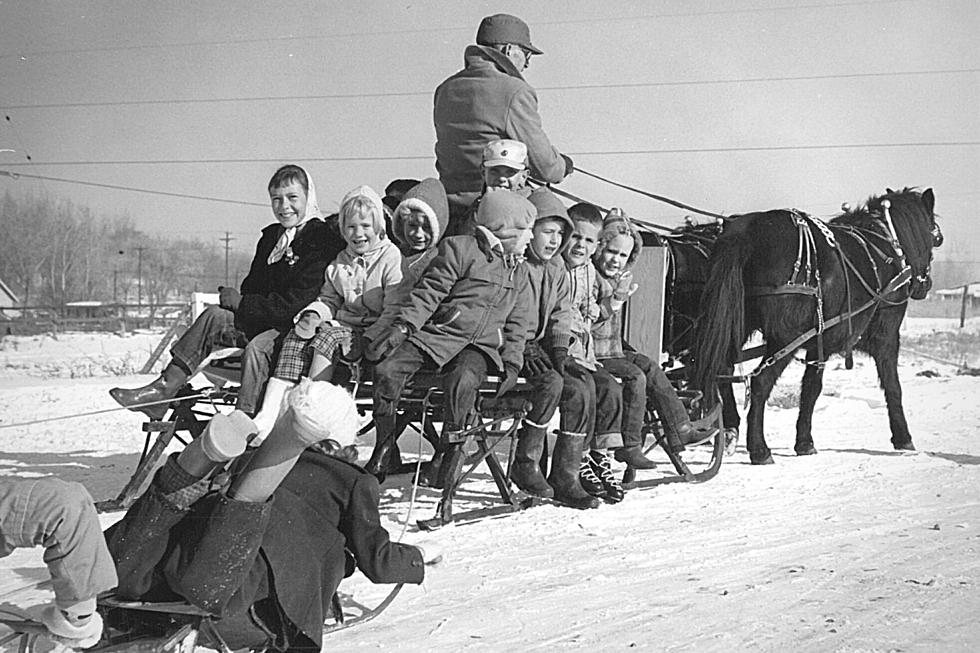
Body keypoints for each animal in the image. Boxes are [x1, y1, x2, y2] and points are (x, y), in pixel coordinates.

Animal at [692, 188, 936, 464]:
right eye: (934, 235)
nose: (925, 285)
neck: (886, 245)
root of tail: (748, 232)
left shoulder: (820, 343)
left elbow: (810, 389)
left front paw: (804, 441)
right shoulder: (886, 336)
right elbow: (892, 386)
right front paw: (903, 437)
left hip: (738, 322)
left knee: (721, 369)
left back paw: (731, 430)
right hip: (785, 337)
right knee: (760, 382)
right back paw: (759, 449)